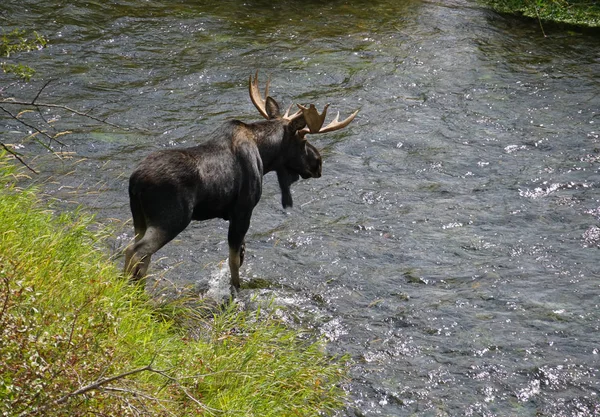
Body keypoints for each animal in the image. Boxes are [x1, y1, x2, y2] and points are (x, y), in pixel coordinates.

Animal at [123, 72, 356, 292]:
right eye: (303, 139)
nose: (318, 163)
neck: (264, 154)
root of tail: (135, 182)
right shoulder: (243, 209)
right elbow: (234, 261)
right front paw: (235, 289)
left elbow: (241, 255)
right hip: (171, 219)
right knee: (135, 250)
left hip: (140, 218)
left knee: (141, 256)